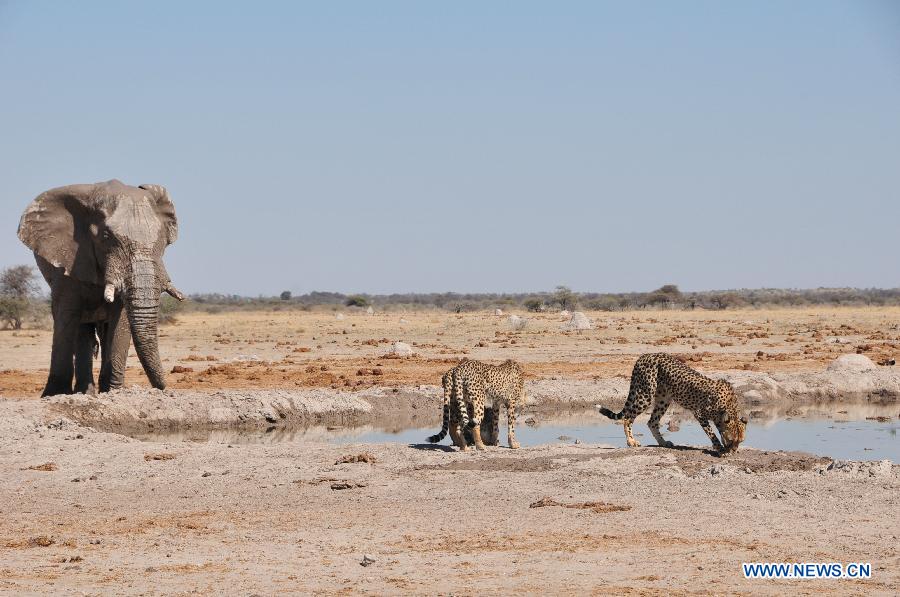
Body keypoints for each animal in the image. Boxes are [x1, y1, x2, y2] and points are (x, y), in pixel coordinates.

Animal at [18, 180, 185, 396]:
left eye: (163, 239)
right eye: (106, 236)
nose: (163, 388)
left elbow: (120, 320)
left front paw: (112, 391)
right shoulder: (69, 260)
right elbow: (66, 314)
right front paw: (54, 394)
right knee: (81, 328)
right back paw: (85, 392)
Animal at [600, 352, 748, 454]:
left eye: (740, 441)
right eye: (731, 440)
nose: (734, 451)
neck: (728, 405)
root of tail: (645, 355)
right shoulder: (699, 413)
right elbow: (712, 434)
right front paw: (720, 449)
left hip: (663, 399)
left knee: (652, 422)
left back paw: (663, 442)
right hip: (645, 395)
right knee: (627, 418)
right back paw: (631, 441)